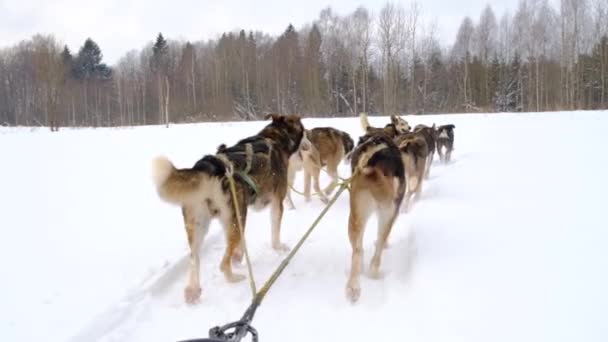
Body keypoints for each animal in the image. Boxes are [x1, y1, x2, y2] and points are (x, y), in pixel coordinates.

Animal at [152, 113, 304, 304]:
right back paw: (234, 277)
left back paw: (192, 291)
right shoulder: (276, 203)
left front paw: (239, 256)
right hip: (234, 220)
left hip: (201, 225)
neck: (274, 137)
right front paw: (278, 248)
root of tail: (208, 166)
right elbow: (275, 232)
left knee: (195, 259)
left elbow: (241, 245)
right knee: (223, 264)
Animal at [344, 133, 406, 302]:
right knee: (375, 249)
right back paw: (371, 274)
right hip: (384, 215)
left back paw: (354, 287)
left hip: (357, 215)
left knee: (358, 251)